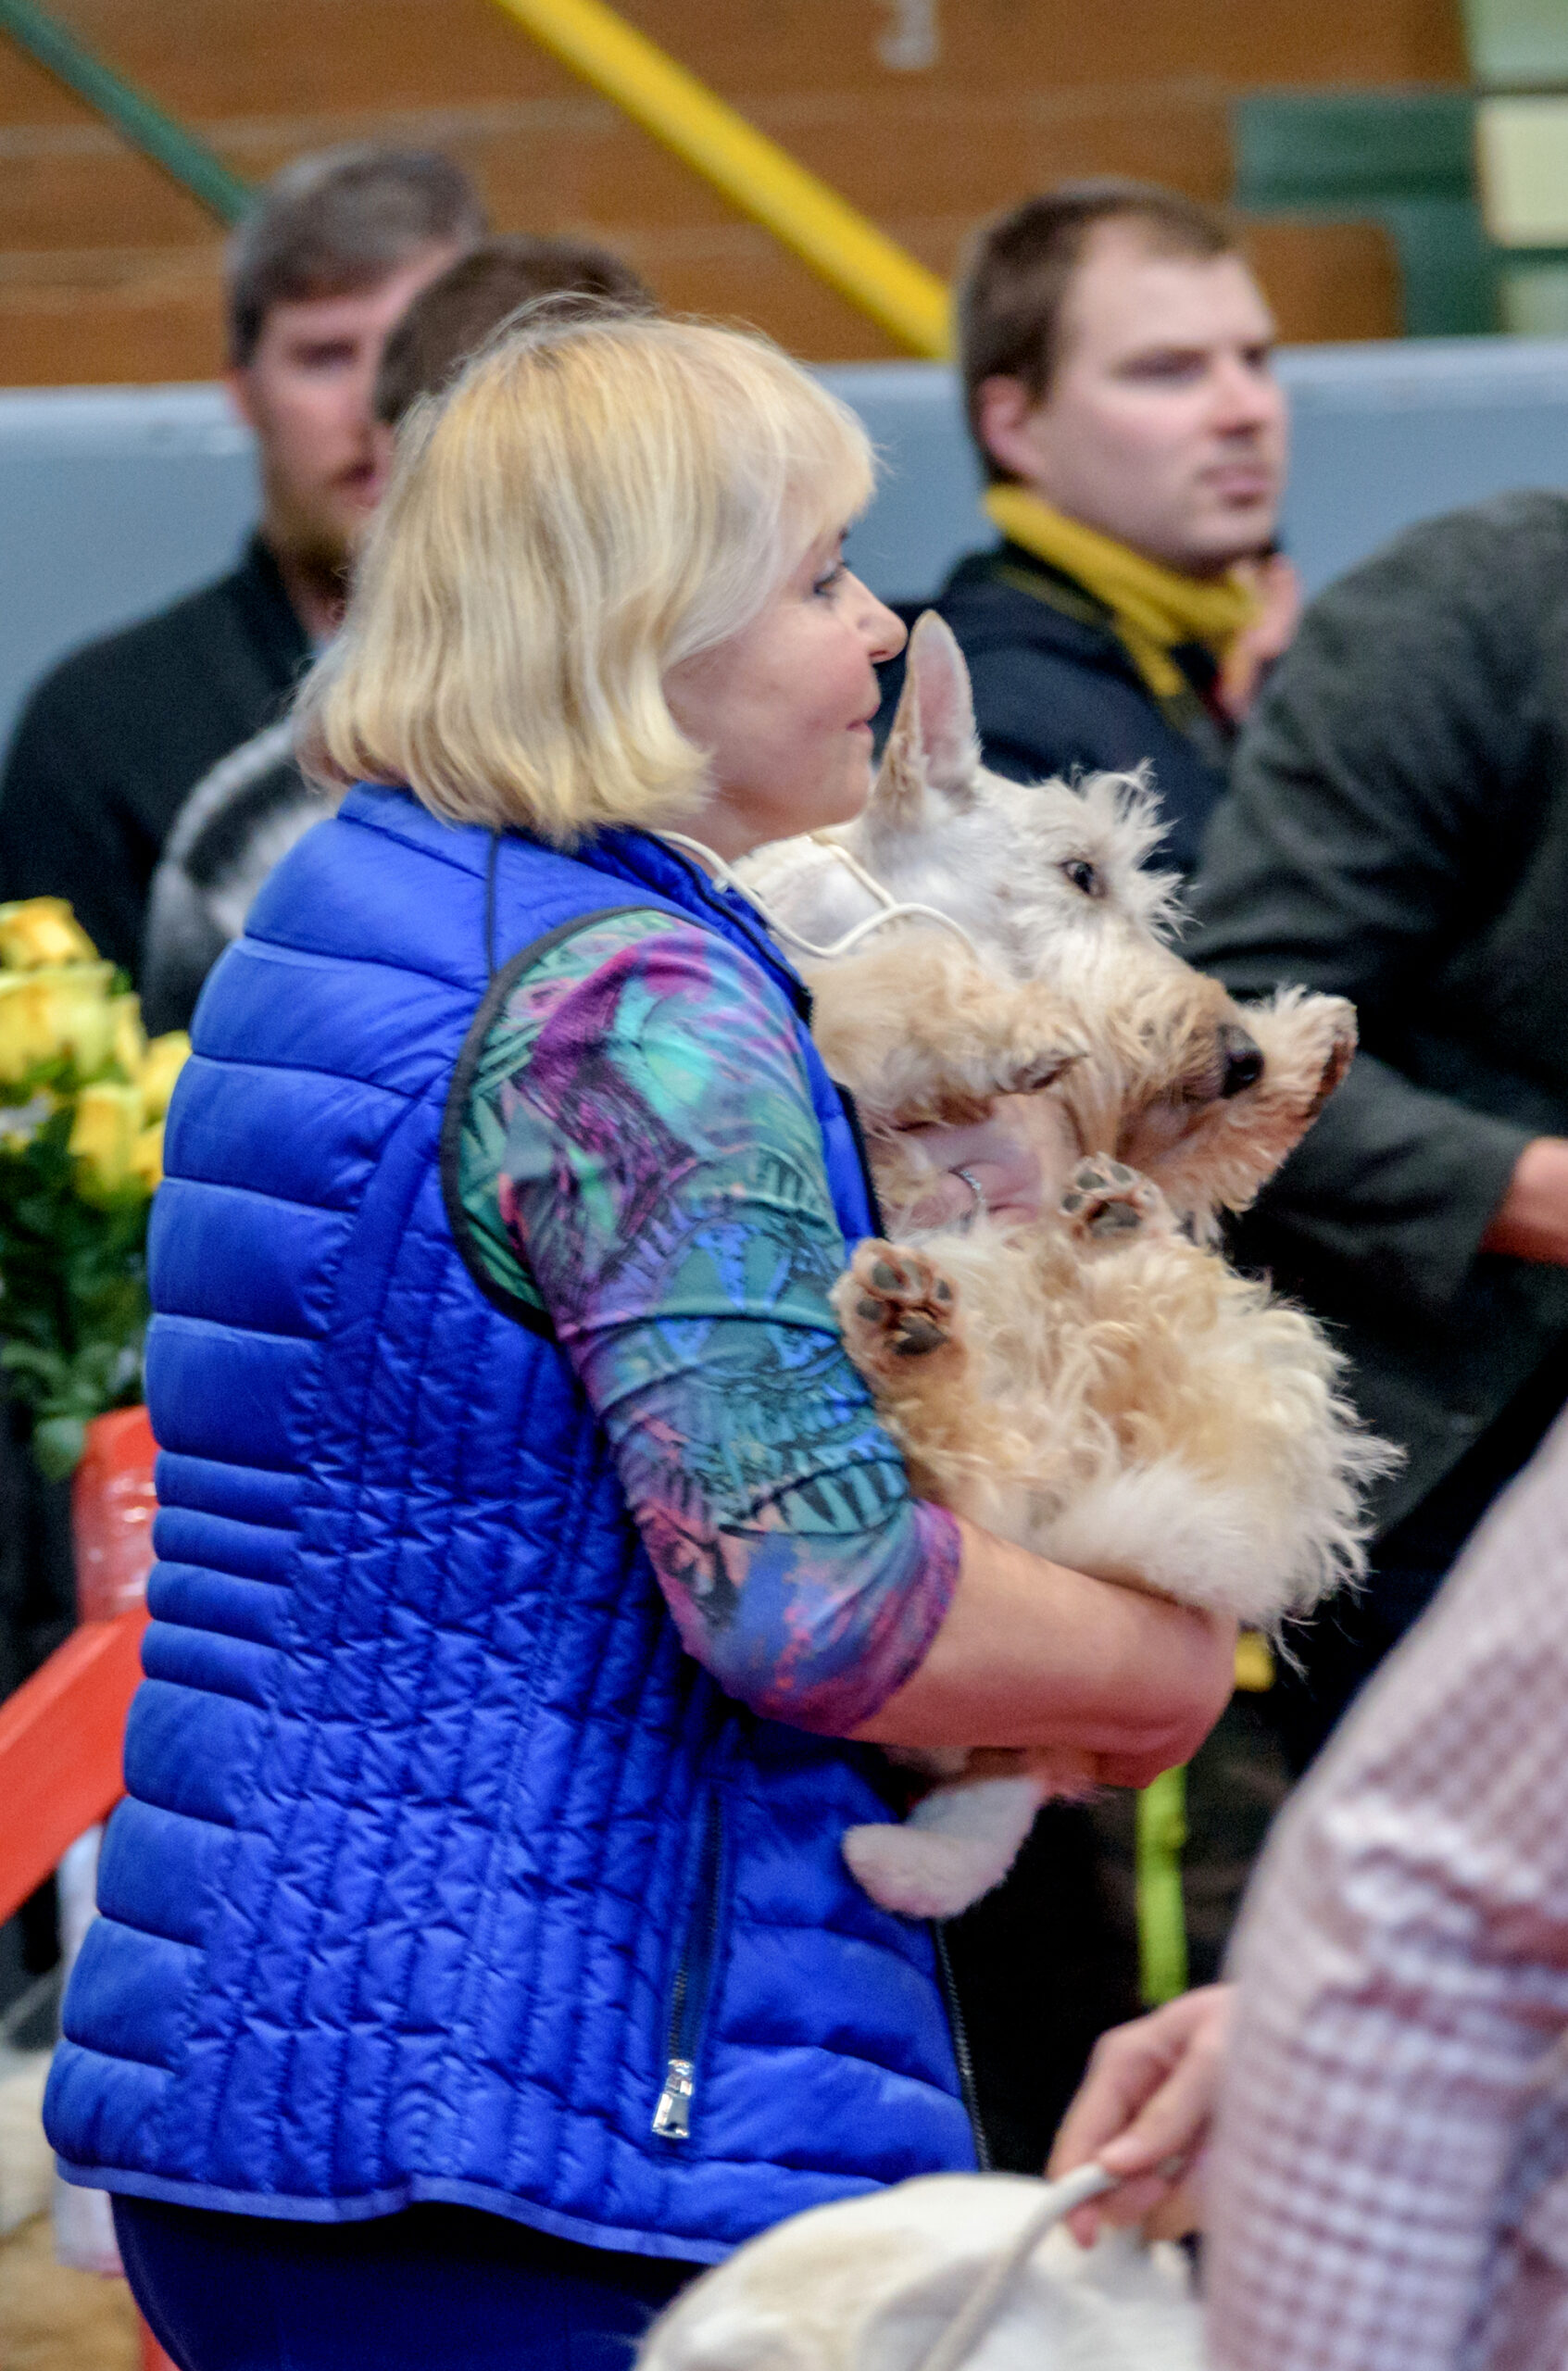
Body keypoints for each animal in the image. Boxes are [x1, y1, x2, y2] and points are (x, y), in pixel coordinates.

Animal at [736, 613, 1396, 1919]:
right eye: (1079, 872)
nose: (1237, 1056)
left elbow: (1184, 1148)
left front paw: (1300, 1052)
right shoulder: (846, 1008)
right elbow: (891, 1001)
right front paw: (1007, 1027)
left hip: (1198, 1352)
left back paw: (1102, 1227)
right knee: (964, 1493)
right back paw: (916, 1329)